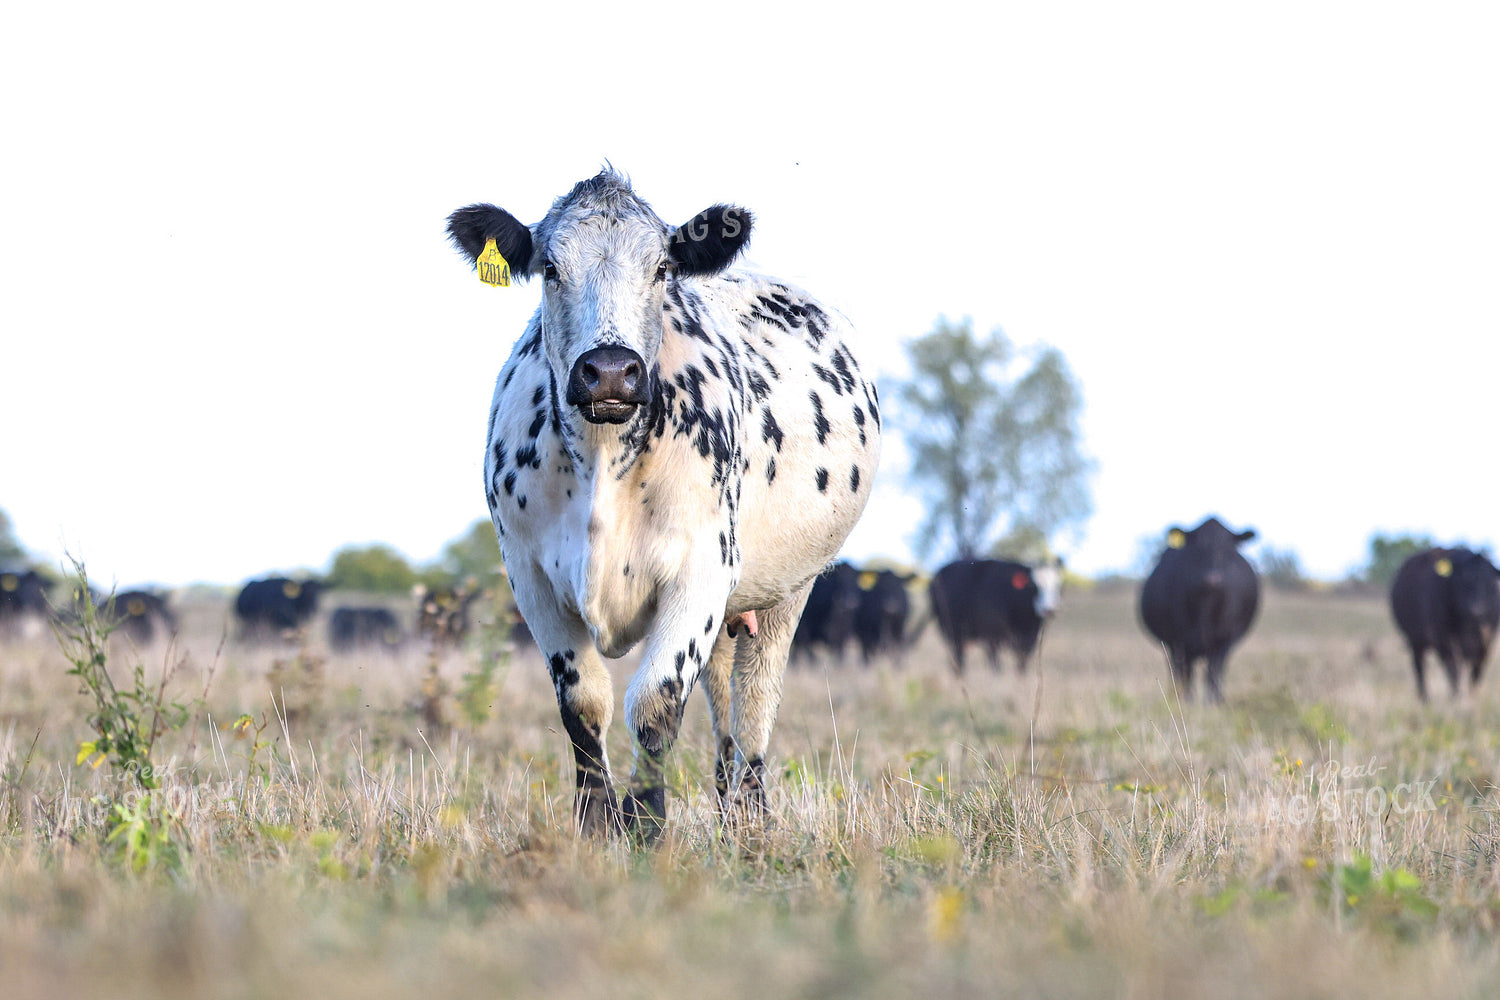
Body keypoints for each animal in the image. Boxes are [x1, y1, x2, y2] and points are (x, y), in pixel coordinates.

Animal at [449, 168, 880, 840]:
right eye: (550, 266)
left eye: (660, 268)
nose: (608, 371)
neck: (603, 460)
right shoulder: (531, 578)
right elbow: (583, 705)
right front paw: (597, 829)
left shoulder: (700, 569)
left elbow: (655, 702)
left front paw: (647, 828)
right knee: (725, 701)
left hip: (788, 589)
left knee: (753, 705)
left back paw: (751, 823)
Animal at [929, 558, 1063, 675]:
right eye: (1033, 585)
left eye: (1057, 585)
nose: (1049, 609)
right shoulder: (992, 638)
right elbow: (996, 666)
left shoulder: (1030, 640)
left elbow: (1021, 665)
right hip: (951, 632)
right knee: (958, 658)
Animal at [1138, 517, 1259, 703]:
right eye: (1197, 547)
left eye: (1229, 549)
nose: (1213, 579)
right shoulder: (1179, 641)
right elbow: (1186, 673)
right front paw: (1188, 701)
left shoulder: (1224, 640)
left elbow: (1214, 672)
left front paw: (1214, 702)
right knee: (1178, 671)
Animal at [1389, 547, 1500, 701]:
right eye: (1462, 580)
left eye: (1488, 581)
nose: (1476, 611)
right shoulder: (1444, 642)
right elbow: (1454, 671)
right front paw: (1456, 699)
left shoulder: (1486, 643)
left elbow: (1476, 673)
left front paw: (1472, 697)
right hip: (1415, 641)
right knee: (1420, 667)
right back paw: (1424, 699)